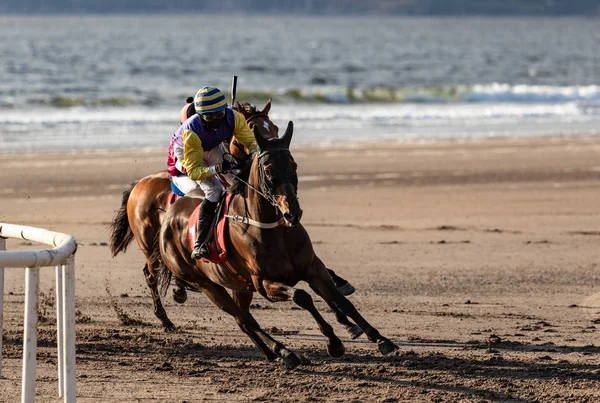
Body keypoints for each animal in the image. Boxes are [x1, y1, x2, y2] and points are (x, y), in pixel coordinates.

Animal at [109, 100, 356, 334]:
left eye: (274, 127)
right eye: (253, 128)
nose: (268, 147)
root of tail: (138, 185)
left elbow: (323, 282)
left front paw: (344, 313)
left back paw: (179, 291)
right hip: (148, 245)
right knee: (151, 275)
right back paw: (166, 318)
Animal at [155, 123, 398, 370]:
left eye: (294, 165)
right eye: (269, 170)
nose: (293, 213)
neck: (273, 228)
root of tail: (168, 216)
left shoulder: (313, 268)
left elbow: (341, 300)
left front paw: (380, 338)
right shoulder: (264, 283)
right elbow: (301, 296)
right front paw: (334, 343)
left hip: (239, 286)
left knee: (243, 320)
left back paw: (272, 354)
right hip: (206, 284)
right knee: (246, 319)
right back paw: (284, 351)